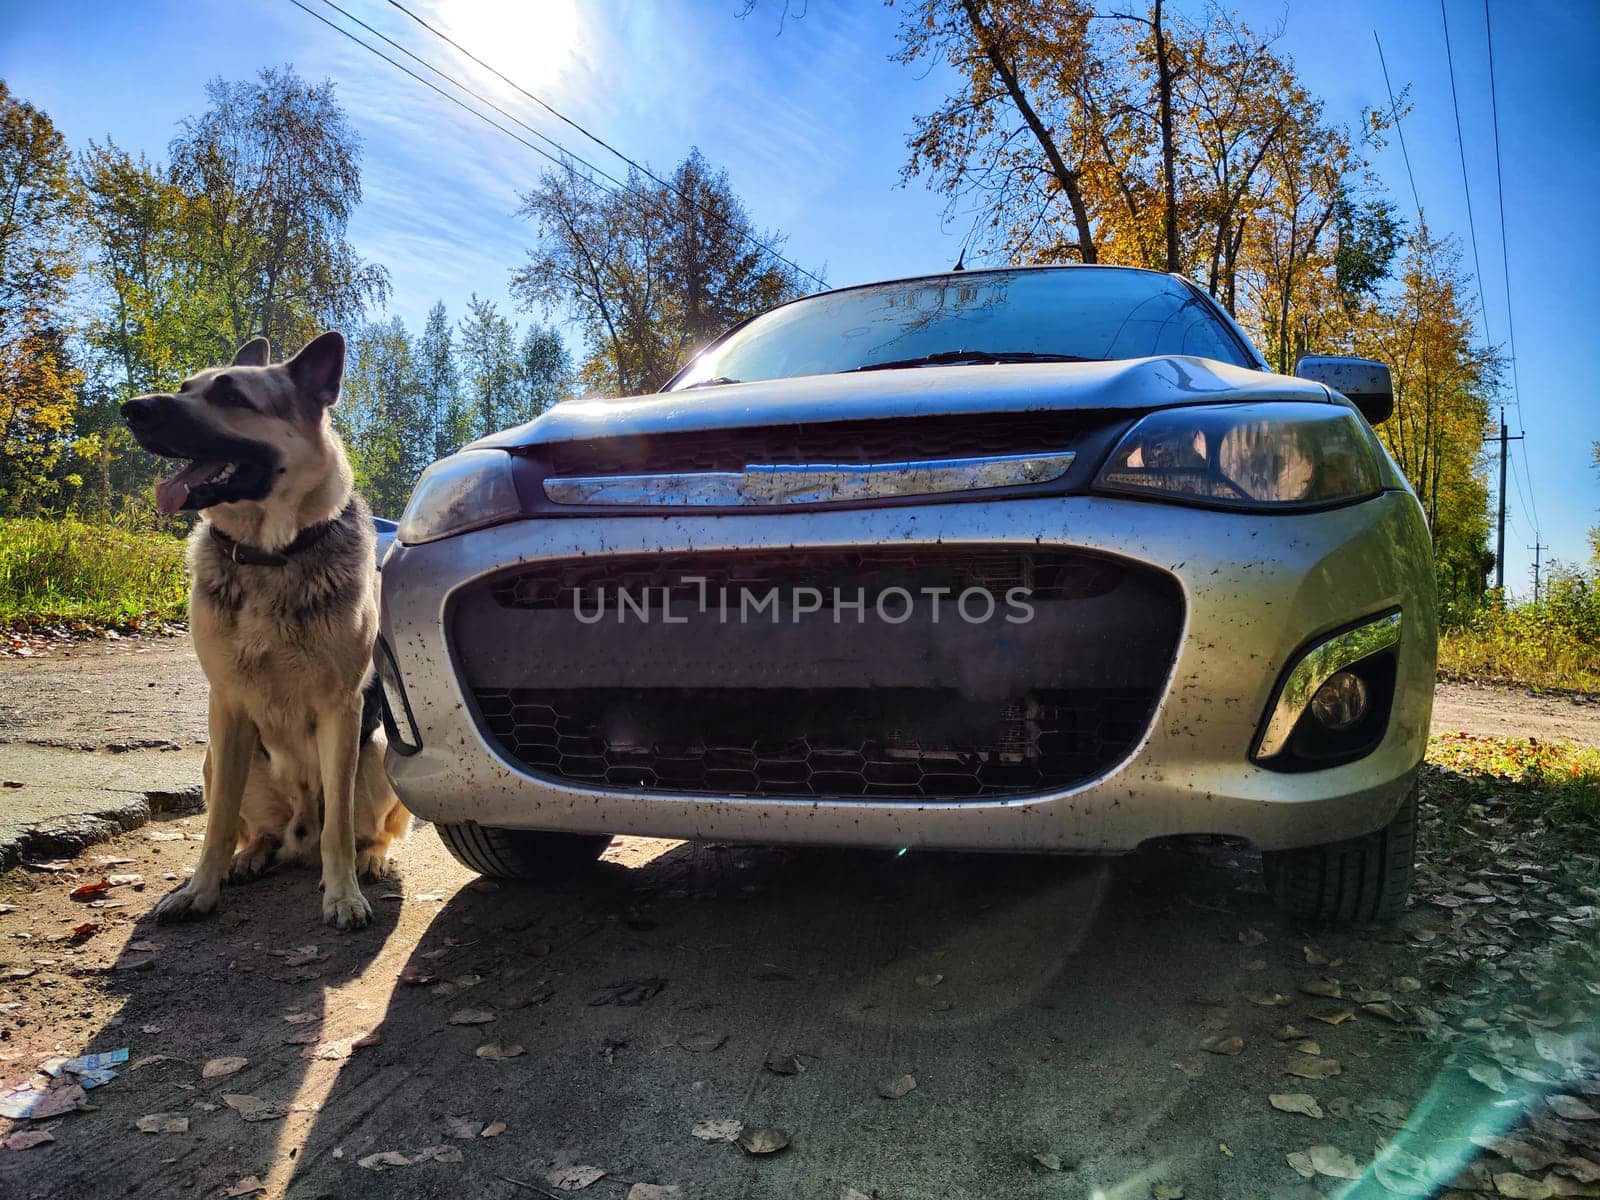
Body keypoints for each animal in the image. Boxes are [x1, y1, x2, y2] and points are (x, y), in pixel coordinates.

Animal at [120, 334, 406, 934]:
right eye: (185, 386)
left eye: (230, 395)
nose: (132, 408)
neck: (269, 555)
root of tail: (297, 838)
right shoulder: (227, 706)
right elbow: (218, 824)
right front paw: (199, 889)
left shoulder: (341, 709)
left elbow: (339, 824)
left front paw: (343, 894)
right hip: (217, 757)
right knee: (256, 831)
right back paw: (249, 857)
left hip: (378, 751)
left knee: (365, 830)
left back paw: (369, 860)